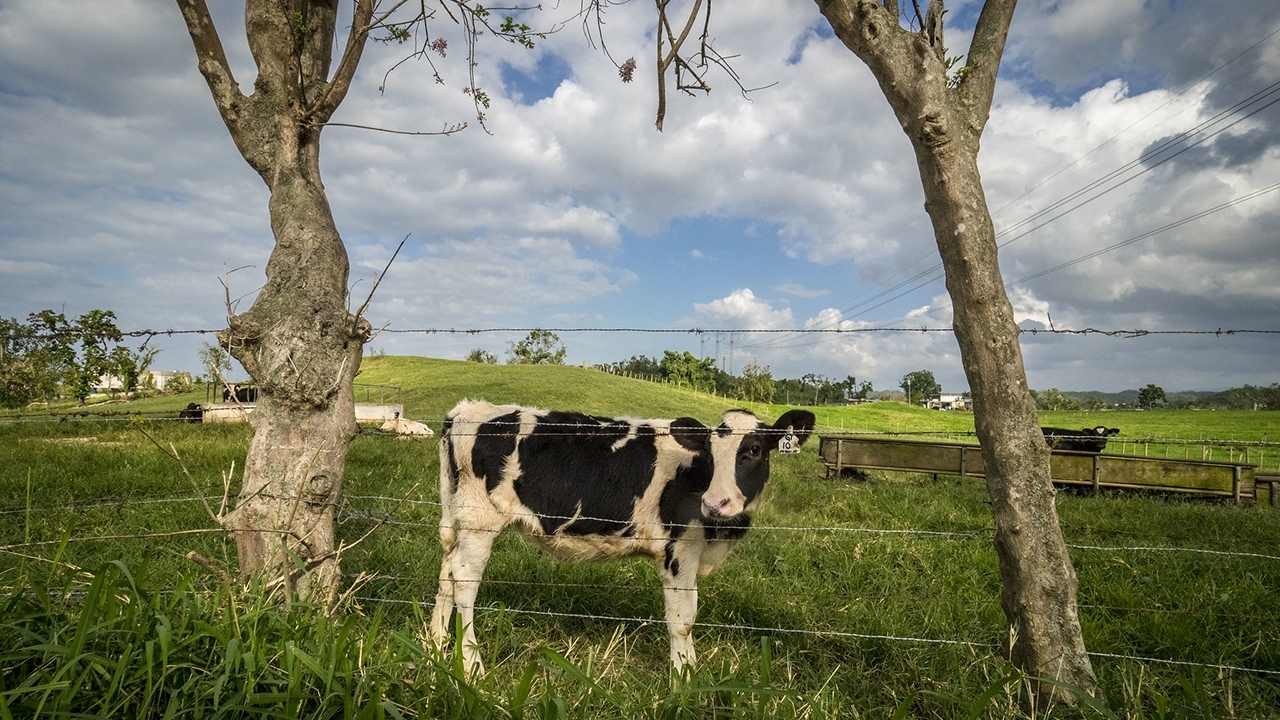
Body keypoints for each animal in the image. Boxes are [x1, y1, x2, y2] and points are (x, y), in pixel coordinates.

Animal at [424, 397, 814, 671]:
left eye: (755, 450)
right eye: (709, 452)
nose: (717, 502)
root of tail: (467, 409)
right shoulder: (680, 549)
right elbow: (682, 621)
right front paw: (684, 680)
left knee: (447, 569)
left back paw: (436, 643)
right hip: (481, 518)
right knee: (464, 579)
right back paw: (471, 665)